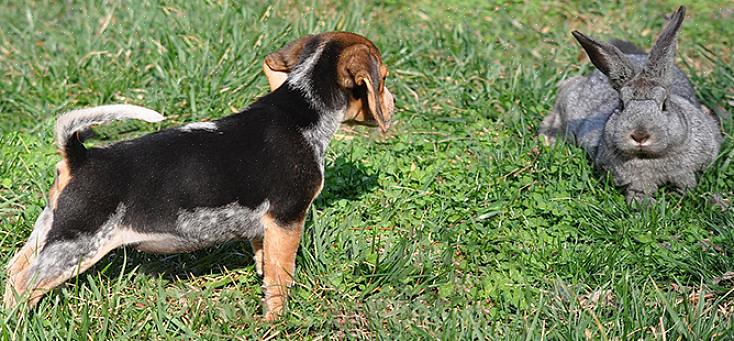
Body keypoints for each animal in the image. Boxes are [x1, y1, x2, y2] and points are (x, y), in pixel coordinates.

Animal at [4, 31, 396, 318]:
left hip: (50, 230)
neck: (302, 107)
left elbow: (264, 265)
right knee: (25, 285)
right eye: (384, 78)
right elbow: (280, 277)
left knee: (13, 272)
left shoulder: (265, 228)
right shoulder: (287, 220)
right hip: (76, 244)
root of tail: (80, 156)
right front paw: (277, 321)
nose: (395, 107)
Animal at [540, 5, 724, 202]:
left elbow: (687, 184)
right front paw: (644, 204)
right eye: (621, 105)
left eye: (664, 104)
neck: (650, 156)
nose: (640, 136)